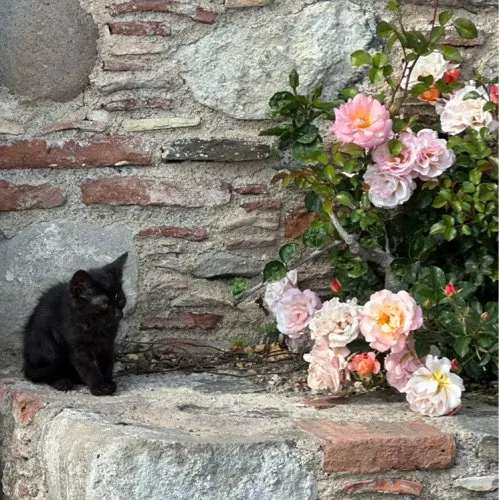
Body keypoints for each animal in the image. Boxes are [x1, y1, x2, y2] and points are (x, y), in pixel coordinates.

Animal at [22, 253, 128, 396]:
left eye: (119, 298)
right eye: (104, 303)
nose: (119, 315)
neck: (97, 325)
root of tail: (26, 362)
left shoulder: (108, 344)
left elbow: (107, 363)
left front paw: (107, 381)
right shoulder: (76, 346)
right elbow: (88, 367)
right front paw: (99, 386)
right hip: (45, 341)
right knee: (46, 372)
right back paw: (61, 382)